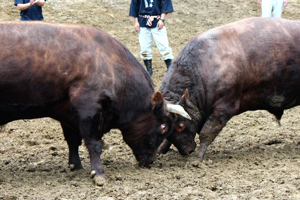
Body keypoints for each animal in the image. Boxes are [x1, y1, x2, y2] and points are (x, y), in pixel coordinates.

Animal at [0, 21, 190, 185]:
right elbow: (94, 143)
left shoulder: (66, 112)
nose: (151, 161)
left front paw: (75, 166)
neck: (109, 63)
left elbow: (72, 140)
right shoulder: (87, 110)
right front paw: (98, 173)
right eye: (163, 127)